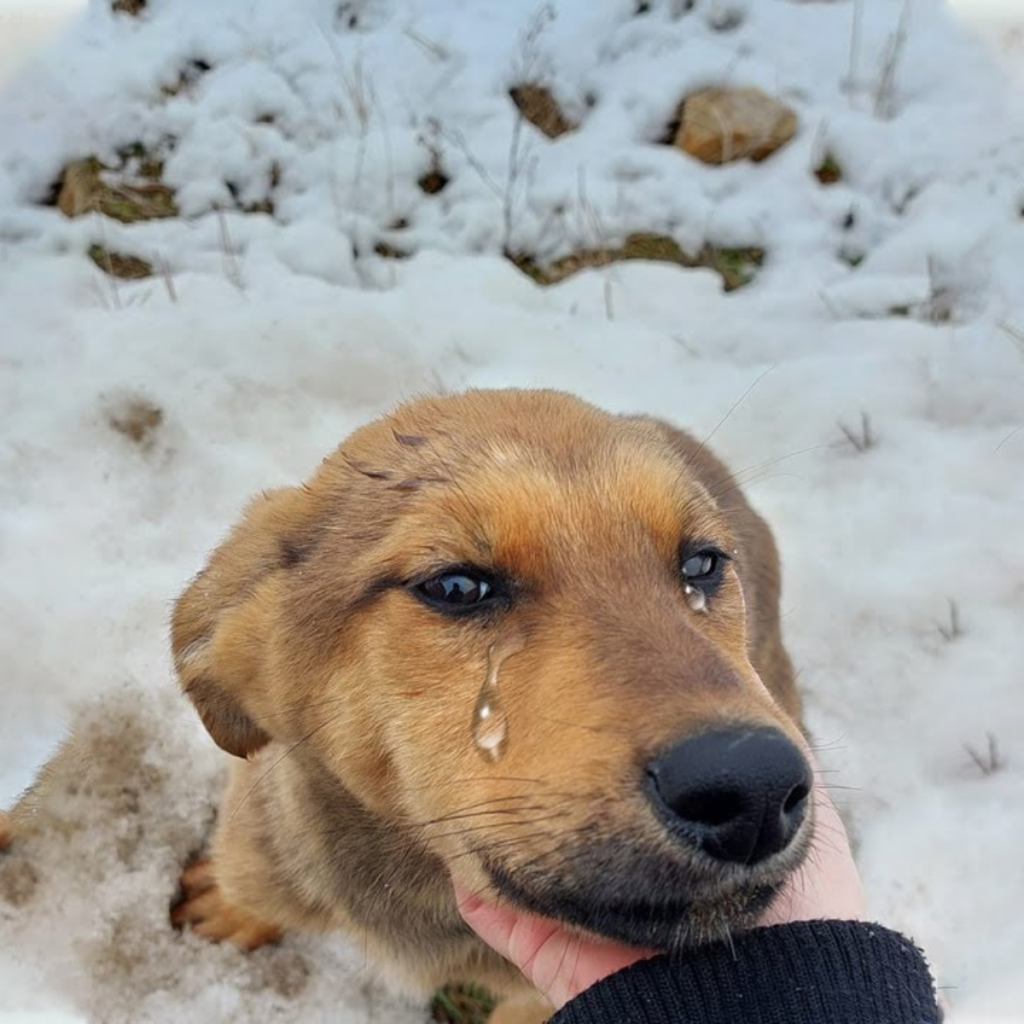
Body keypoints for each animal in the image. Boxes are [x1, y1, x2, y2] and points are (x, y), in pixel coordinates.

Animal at [169, 387, 806, 1019]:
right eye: (456, 587)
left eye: (702, 563)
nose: (756, 787)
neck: (415, 882)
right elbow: (254, 878)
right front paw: (229, 902)